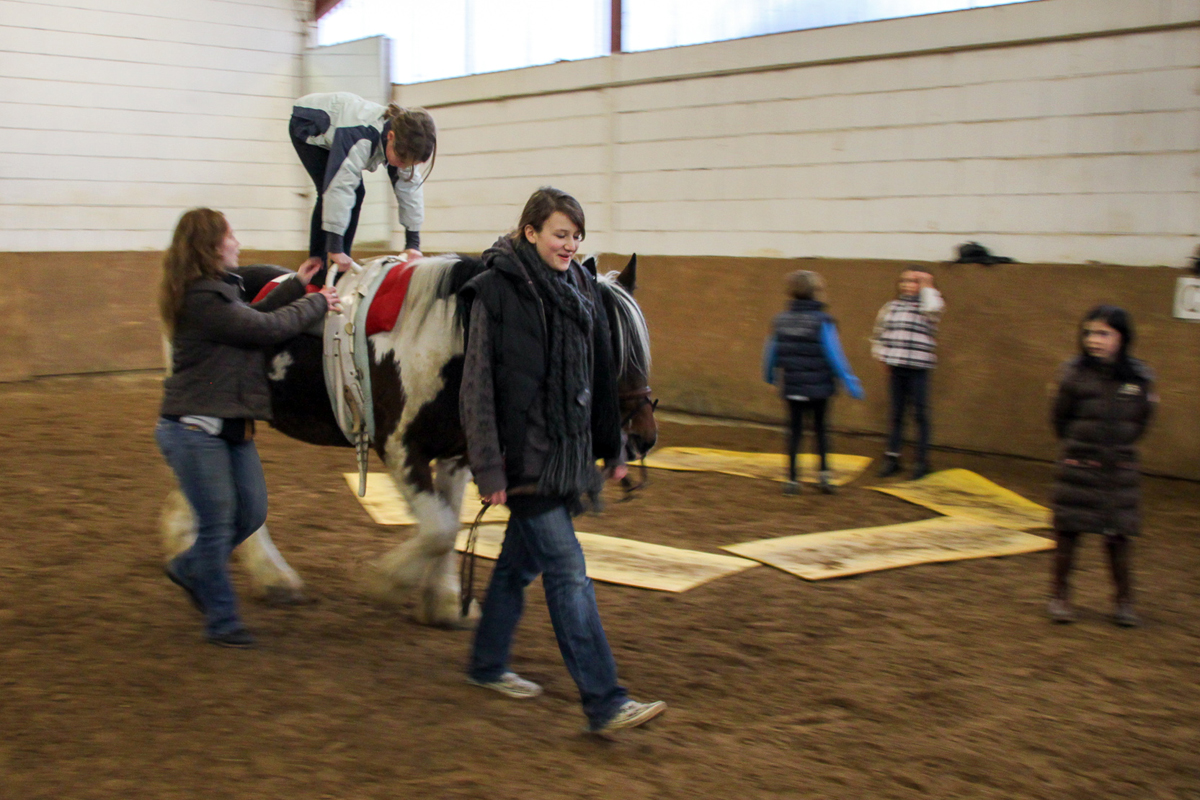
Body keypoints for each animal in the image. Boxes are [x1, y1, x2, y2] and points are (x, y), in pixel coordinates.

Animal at [162, 253, 657, 628]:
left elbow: (450, 521)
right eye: (605, 342)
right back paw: (268, 576)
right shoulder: (399, 449)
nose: (644, 437)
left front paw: (444, 602)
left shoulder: (458, 455)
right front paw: (383, 581)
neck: (452, 340)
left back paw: (199, 546)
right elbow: (438, 530)